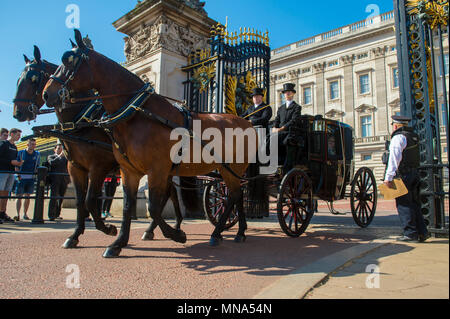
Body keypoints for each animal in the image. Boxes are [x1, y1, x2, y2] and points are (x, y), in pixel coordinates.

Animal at [14, 46, 183, 249]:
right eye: (19, 79)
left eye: (33, 78)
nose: (18, 112)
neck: (82, 120)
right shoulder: (75, 167)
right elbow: (81, 201)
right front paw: (75, 235)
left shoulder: (99, 166)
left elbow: (90, 199)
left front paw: (107, 228)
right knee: (170, 193)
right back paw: (162, 227)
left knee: (167, 194)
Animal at [44, 30, 256, 258]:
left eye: (69, 61)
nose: (47, 93)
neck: (136, 114)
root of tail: (247, 122)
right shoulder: (128, 171)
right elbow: (127, 206)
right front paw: (117, 242)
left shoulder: (149, 169)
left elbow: (152, 207)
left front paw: (176, 235)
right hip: (227, 170)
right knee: (236, 195)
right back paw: (239, 232)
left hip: (232, 168)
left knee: (233, 195)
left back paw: (217, 233)